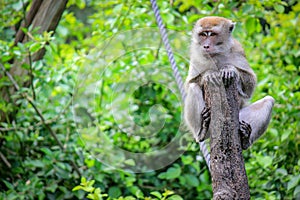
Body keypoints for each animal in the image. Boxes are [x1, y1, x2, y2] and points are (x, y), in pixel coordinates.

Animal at [183, 16, 274, 149]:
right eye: (203, 34)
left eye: (212, 34)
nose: (206, 46)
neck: (216, 54)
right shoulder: (196, 55)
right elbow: (190, 82)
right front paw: (209, 73)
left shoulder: (237, 50)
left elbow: (250, 86)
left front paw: (230, 69)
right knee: (193, 87)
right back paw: (202, 131)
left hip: (239, 118)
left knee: (269, 101)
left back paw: (245, 139)